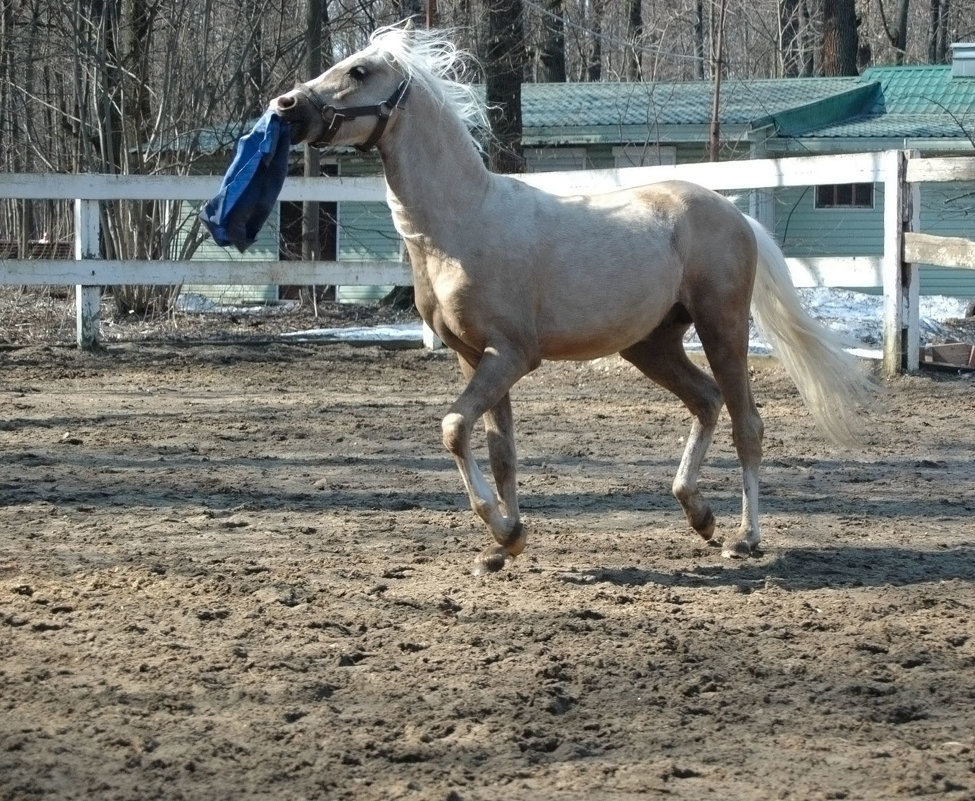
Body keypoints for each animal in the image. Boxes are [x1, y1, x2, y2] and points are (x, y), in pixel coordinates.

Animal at [272, 25, 868, 576]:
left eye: (359, 71)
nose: (286, 108)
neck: (461, 224)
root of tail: (736, 214)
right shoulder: (474, 357)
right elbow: (500, 450)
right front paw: (503, 547)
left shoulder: (511, 356)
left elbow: (454, 428)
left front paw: (503, 531)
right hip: (652, 345)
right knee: (705, 400)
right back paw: (699, 515)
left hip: (723, 328)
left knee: (748, 424)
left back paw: (744, 538)